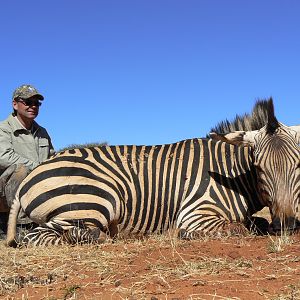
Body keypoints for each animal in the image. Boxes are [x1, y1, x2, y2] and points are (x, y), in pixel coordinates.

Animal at [5, 98, 298, 246]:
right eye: (259, 167)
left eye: (297, 165)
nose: (286, 224)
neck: (231, 173)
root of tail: (31, 175)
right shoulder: (195, 214)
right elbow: (243, 227)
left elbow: (255, 222)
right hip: (96, 202)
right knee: (42, 235)